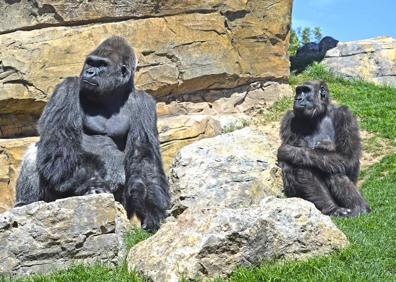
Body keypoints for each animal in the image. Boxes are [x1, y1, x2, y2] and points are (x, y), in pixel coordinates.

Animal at [15, 36, 170, 231]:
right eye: (90, 62)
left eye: (102, 65)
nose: (89, 72)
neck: (112, 94)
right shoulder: (67, 88)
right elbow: (59, 143)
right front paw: (92, 182)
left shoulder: (144, 103)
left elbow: (144, 159)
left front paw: (152, 211)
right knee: (39, 151)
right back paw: (25, 203)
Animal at [276, 80, 370, 217]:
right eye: (298, 91)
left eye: (306, 90)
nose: (298, 98)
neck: (319, 115)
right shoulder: (288, 119)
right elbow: (297, 164)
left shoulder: (345, 116)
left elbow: (347, 157)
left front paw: (289, 151)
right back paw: (333, 208)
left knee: (334, 169)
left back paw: (358, 208)